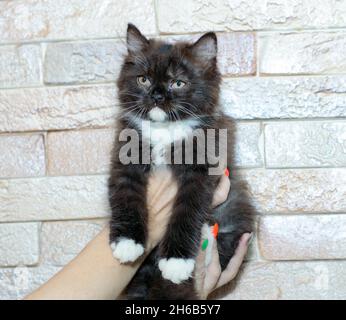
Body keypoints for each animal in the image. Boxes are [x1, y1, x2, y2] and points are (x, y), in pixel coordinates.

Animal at [108, 24, 254, 300]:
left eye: (178, 83)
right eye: (143, 79)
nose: (156, 95)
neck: (164, 130)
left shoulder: (203, 167)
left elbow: (188, 210)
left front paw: (176, 262)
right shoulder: (124, 156)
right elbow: (125, 196)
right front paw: (127, 243)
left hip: (234, 211)